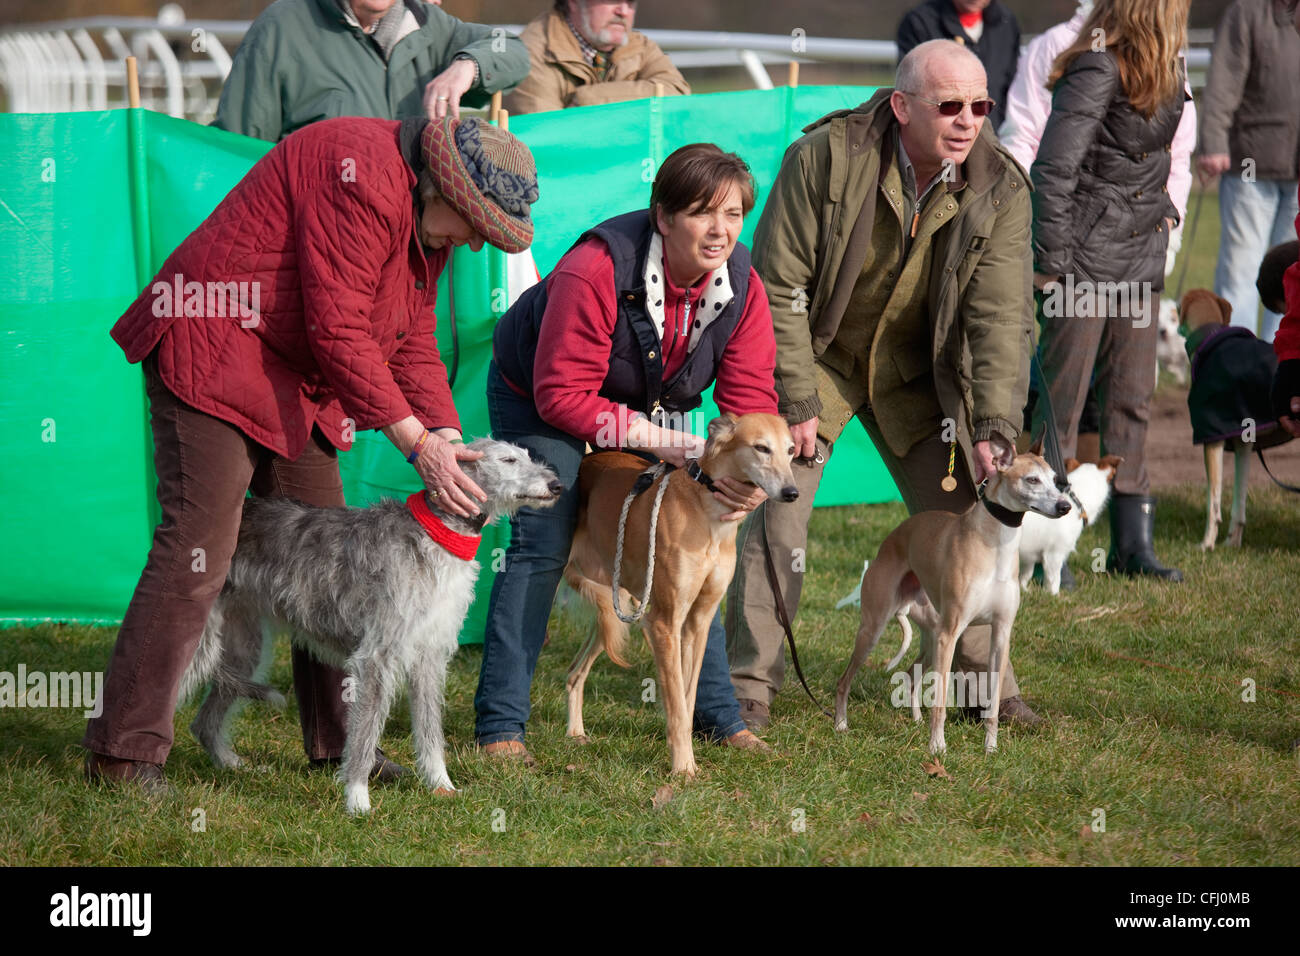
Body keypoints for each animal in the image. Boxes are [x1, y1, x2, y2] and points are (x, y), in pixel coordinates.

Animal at [175, 437, 561, 816]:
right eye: (508, 460)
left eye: (527, 455)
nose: (557, 485)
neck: (435, 533)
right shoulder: (376, 657)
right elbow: (363, 735)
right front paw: (358, 799)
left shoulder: (429, 656)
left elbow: (430, 731)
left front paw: (442, 786)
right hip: (198, 645)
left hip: (242, 650)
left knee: (203, 723)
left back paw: (232, 765)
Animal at [564, 411, 795, 780]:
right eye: (761, 448)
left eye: (790, 450)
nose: (791, 492)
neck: (708, 515)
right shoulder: (663, 623)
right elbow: (675, 704)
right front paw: (683, 768)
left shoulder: (697, 622)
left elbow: (686, 702)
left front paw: (686, 759)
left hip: (616, 607)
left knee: (574, 674)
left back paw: (575, 732)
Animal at [832, 437, 1066, 759]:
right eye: (1032, 479)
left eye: (1055, 480)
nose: (1065, 506)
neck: (996, 545)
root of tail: (893, 536)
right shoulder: (950, 634)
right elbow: (940, 702)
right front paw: (937, 747)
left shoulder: (1000, 635)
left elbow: (992, 704)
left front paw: (991, 747)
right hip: (877, 629)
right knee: (844, 681)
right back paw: (841, 724)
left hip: (931, 638)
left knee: (910, 674)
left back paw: (915, 719)